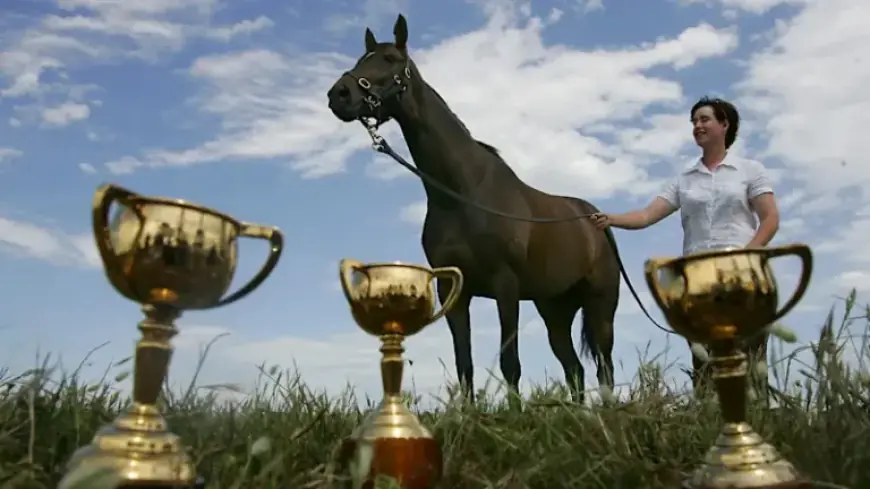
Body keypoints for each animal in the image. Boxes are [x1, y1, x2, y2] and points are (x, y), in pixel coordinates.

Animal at [327, 14, 658, 404]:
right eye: (362, 58)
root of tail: (597, 222)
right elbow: (464, 363)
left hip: (600, 305)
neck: (461, 193)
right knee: (574, 369)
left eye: (390, 59)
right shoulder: (453, 291)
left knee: (603, 366)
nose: (339, 95)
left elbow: (509, 361)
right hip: (554, 310)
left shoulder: (506, 285)